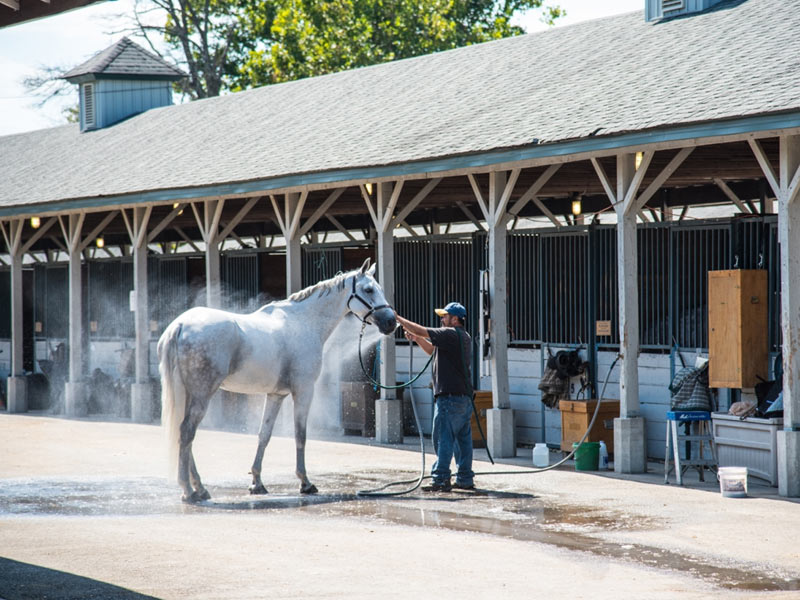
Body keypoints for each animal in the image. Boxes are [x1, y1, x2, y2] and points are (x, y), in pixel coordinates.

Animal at [158, 258, 396, 502]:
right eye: (368, 290)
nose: (391, 322)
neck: (304, 322)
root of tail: (180, 326)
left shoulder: (276, 395)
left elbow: (264, 435)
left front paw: (257, 483)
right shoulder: (303, 391)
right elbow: (300, 435)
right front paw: (305, 482)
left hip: (188, 393)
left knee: (183, 433)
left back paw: (199, 488)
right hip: (202, 394)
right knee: (186, 432)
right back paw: (189, 489)